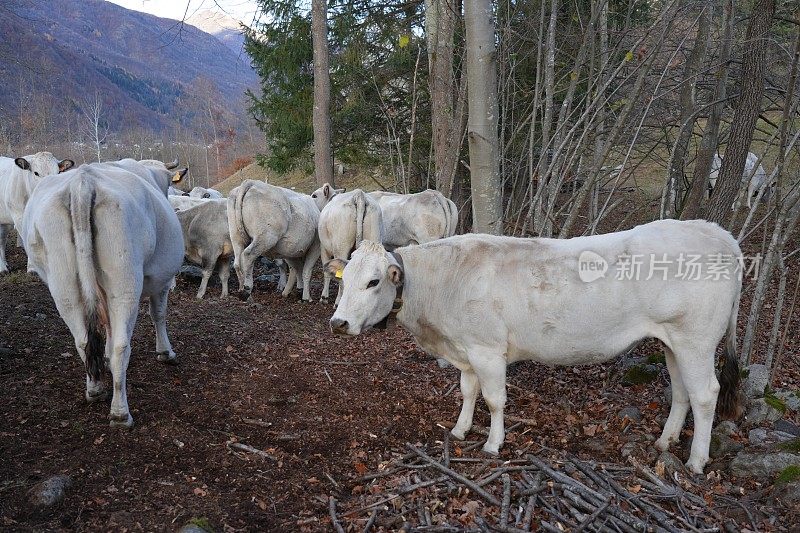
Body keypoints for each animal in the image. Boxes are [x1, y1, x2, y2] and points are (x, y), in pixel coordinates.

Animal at [324, 220, 744, 474]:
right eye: (344, 281)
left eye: (374, 281)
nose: (338, 323)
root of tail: (717, 232)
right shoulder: (465, 349)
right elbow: (468, 391)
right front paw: (460, 430)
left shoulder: (487, 349)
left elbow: (494, 399)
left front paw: (493, 444)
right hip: (673, 342)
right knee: (681, 390)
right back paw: (665, 441)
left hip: (696, 340)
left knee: (705, 394)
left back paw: (696, 460)